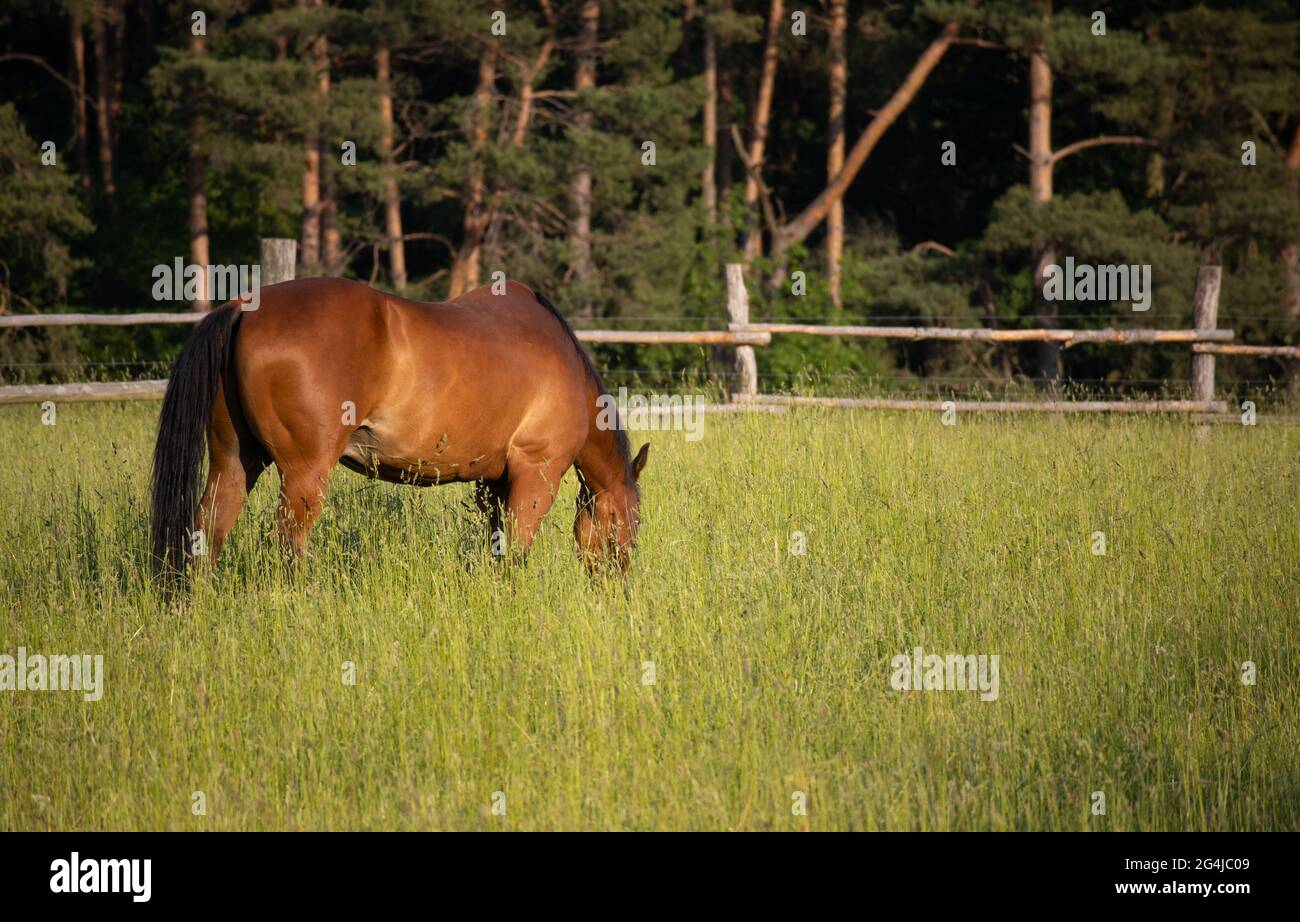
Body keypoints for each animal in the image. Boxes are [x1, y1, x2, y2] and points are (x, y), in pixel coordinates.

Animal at [150, 275, 650, 582]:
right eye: (628, 522)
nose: (619, 586)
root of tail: (245, 306)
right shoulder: (534, 478)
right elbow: (515, 554)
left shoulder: (493, 484)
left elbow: (496, 549)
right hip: (304, 474)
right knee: (288, 544)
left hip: (235, 461)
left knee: (208, 531)